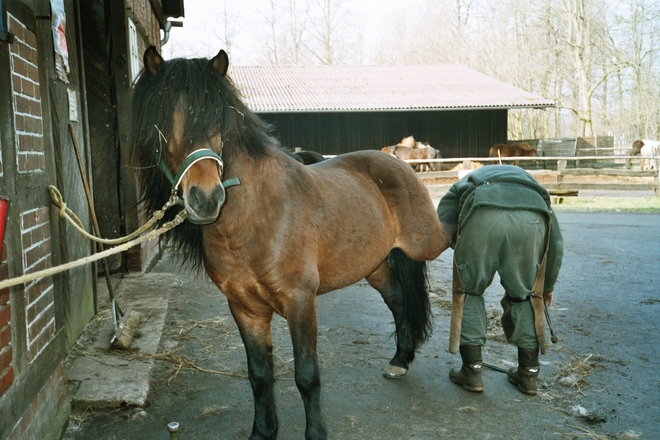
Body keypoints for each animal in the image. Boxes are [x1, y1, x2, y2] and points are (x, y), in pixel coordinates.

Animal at [130, 47, 448, 440]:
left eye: (220, 122)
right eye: (162, 125)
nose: (206, 199)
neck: (255, 220)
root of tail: (395, 162)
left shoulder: (300, 302)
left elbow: (307, 377)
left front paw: (316, 432)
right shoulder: (245, 309)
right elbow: (260, 376)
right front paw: (263, 431)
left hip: (426, 243)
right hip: (374, 265)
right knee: (399, 300)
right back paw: (400, 360)